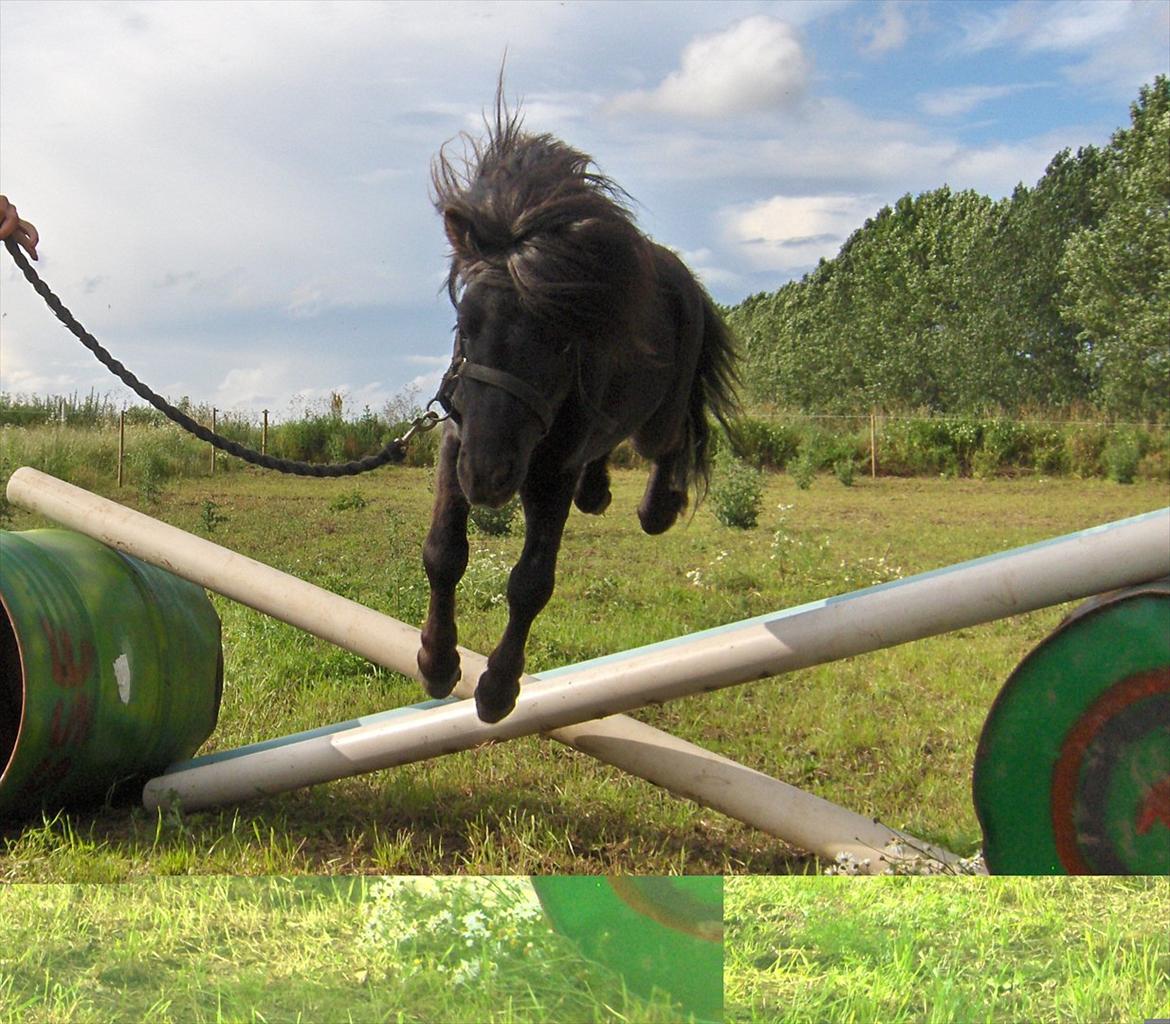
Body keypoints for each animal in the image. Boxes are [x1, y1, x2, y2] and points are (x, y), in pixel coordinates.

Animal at [416, 94, 734, 720]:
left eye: (563, 340)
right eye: (467, 322)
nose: (489, 477)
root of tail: (682, 277)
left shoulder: (550, 476)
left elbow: (530, 582)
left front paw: (497, 689)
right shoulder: (457, 443)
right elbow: (444, 553)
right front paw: (438, 664)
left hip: (656, 422)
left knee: (672, 439)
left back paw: (659, 504)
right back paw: (600, 490)